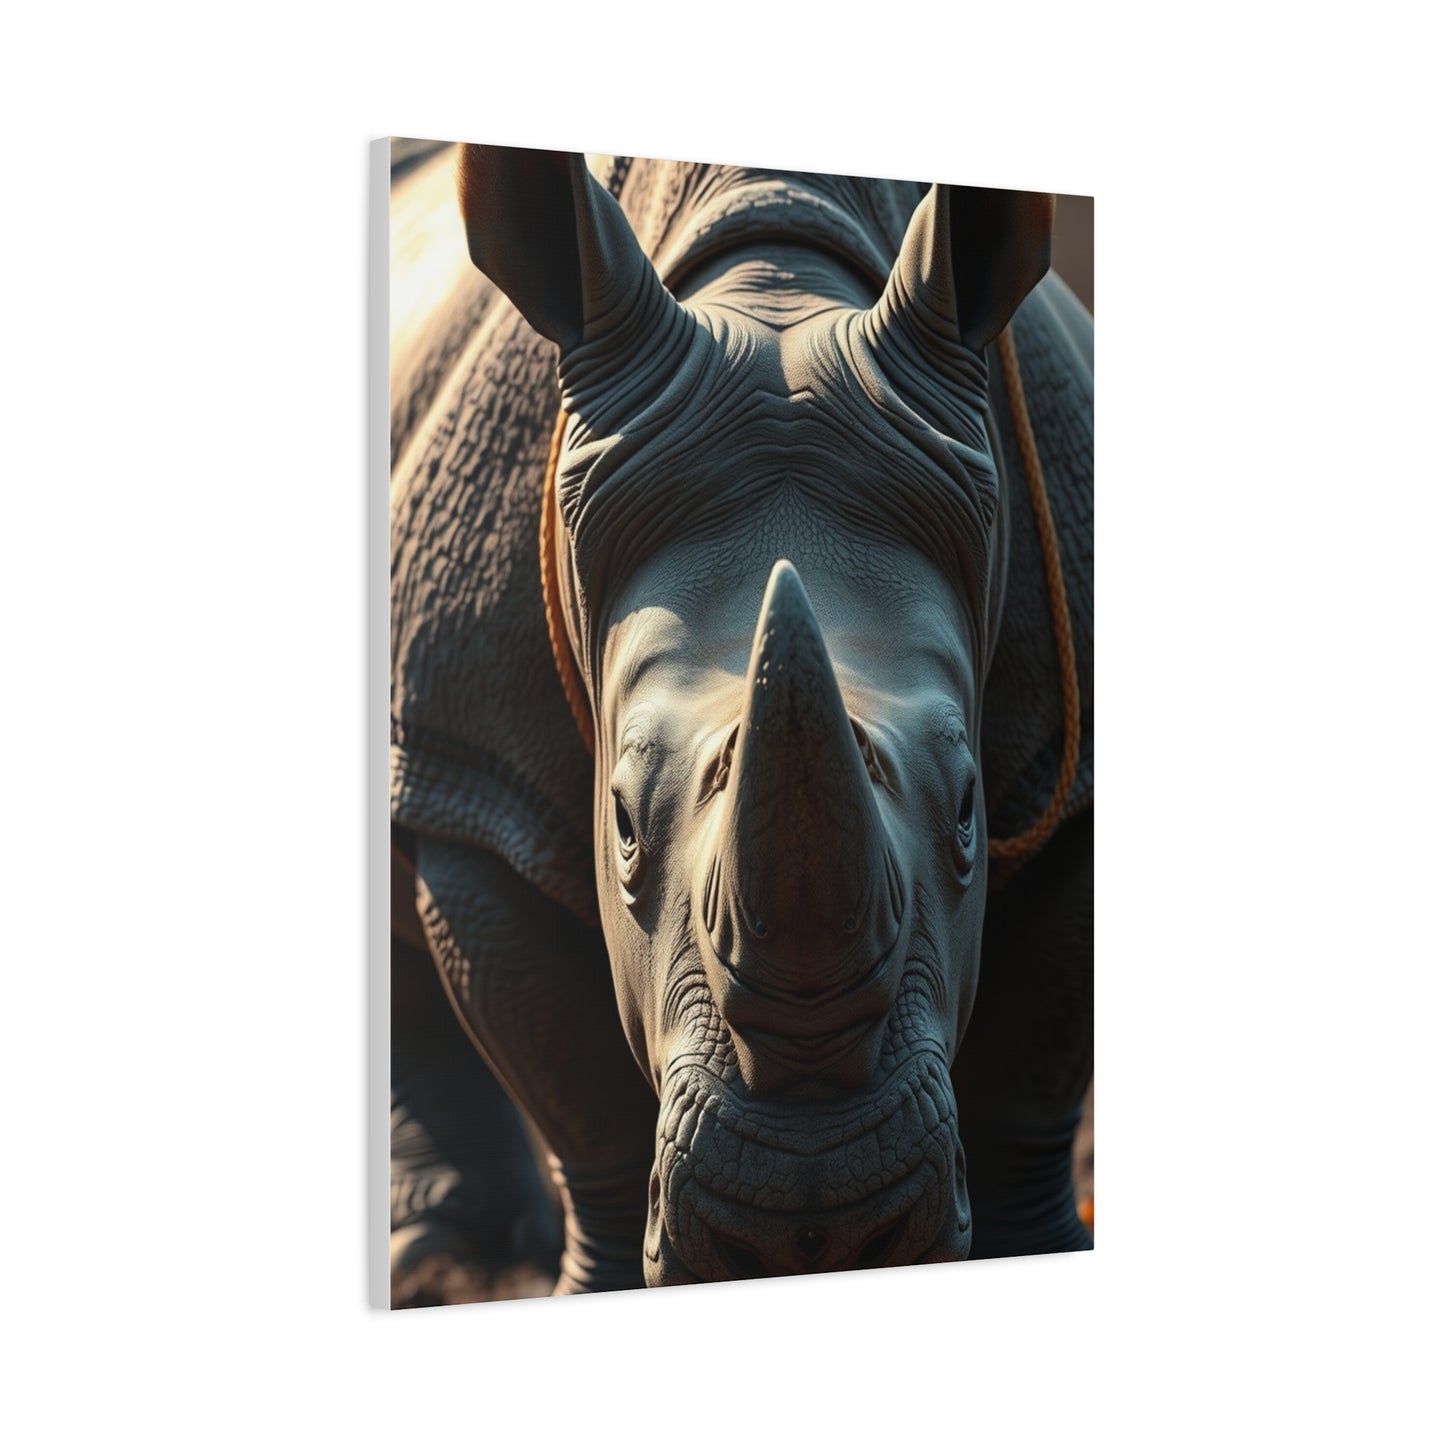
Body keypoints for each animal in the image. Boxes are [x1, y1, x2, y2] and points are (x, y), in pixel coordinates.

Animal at [389, 143, 1093, 1294]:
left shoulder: (1061, 771)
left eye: (968, 808)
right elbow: (578, 1093)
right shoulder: (478, 773)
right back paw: (440, 1257)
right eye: (620, 820)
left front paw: (1037, 1250)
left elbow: (1032, 1061)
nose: (818, 1225)